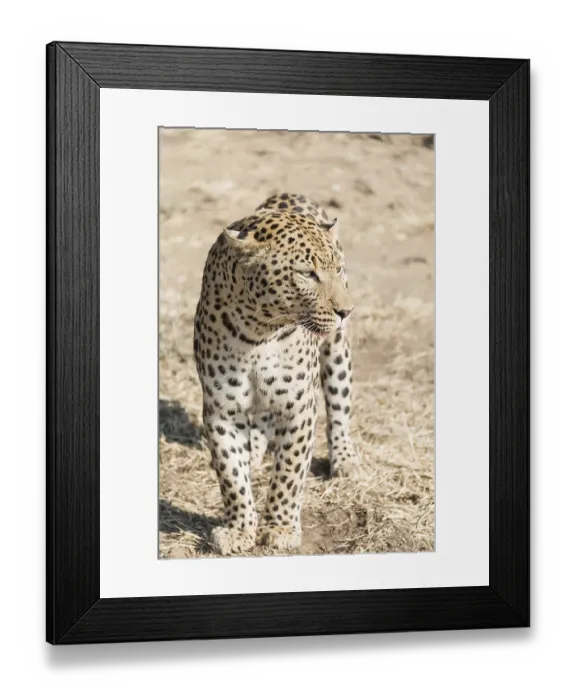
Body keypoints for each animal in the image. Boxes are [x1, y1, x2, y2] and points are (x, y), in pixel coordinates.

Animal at [193, 193, 365, 556]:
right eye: (307, 274)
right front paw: (239, 529)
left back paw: (346, 460)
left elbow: (289, 471)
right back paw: (256, 448)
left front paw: (280, 527)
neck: (259, 333)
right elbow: (231, 475)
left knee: (339, 409)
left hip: (338, 354)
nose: (347, 310)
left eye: (336, 269)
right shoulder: (221, 411)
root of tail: (289, 195)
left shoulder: (298, 407)